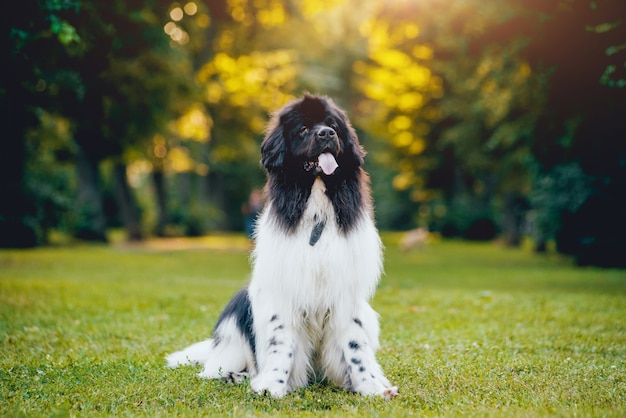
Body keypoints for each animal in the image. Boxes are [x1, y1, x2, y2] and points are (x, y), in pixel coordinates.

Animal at [166, 94, 398, 398]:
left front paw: (370, 386)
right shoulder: (283, 291)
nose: (326, 134)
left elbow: (355, 346)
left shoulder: (345, 292)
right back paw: (237, 376)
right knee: (221, 366)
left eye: (333, 125)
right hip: (237, 314)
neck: (317, 214)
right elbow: (281, 343)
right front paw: (272, 385)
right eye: (303, 129)